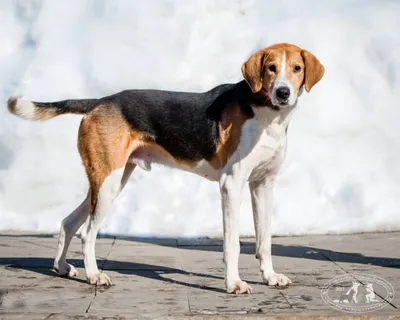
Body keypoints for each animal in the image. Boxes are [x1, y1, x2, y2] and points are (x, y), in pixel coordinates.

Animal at [7, 43, 324, 296]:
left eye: (296, 68)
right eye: (271, 69)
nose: (283, 92)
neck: (268, 113)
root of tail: (98, 102)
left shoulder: (263, 185)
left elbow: (264, 241)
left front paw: (270, 277)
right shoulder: (231, 185)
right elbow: (232, 244)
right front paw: (233, 283)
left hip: (108, 181)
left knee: (68, 222)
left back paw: (62, 267)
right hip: (108, 185)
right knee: (87, 233)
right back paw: (94, 276)